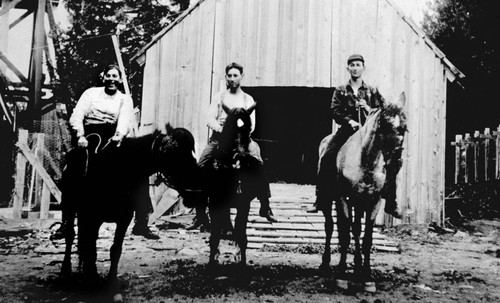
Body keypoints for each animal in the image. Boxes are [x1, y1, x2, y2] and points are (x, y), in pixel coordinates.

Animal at [320, 92, 406, 292]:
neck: (365, 161)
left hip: (359, 204)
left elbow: (366, 238)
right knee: (330, 227)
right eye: (384, 124)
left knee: (356, 230)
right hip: (330, 201)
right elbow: (344, 235)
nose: (396, 162)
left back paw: (358, 266)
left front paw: (367, 276)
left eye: (404, 128)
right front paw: (342, 275)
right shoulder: (343, 199)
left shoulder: (374, 202)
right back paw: (325, 264)